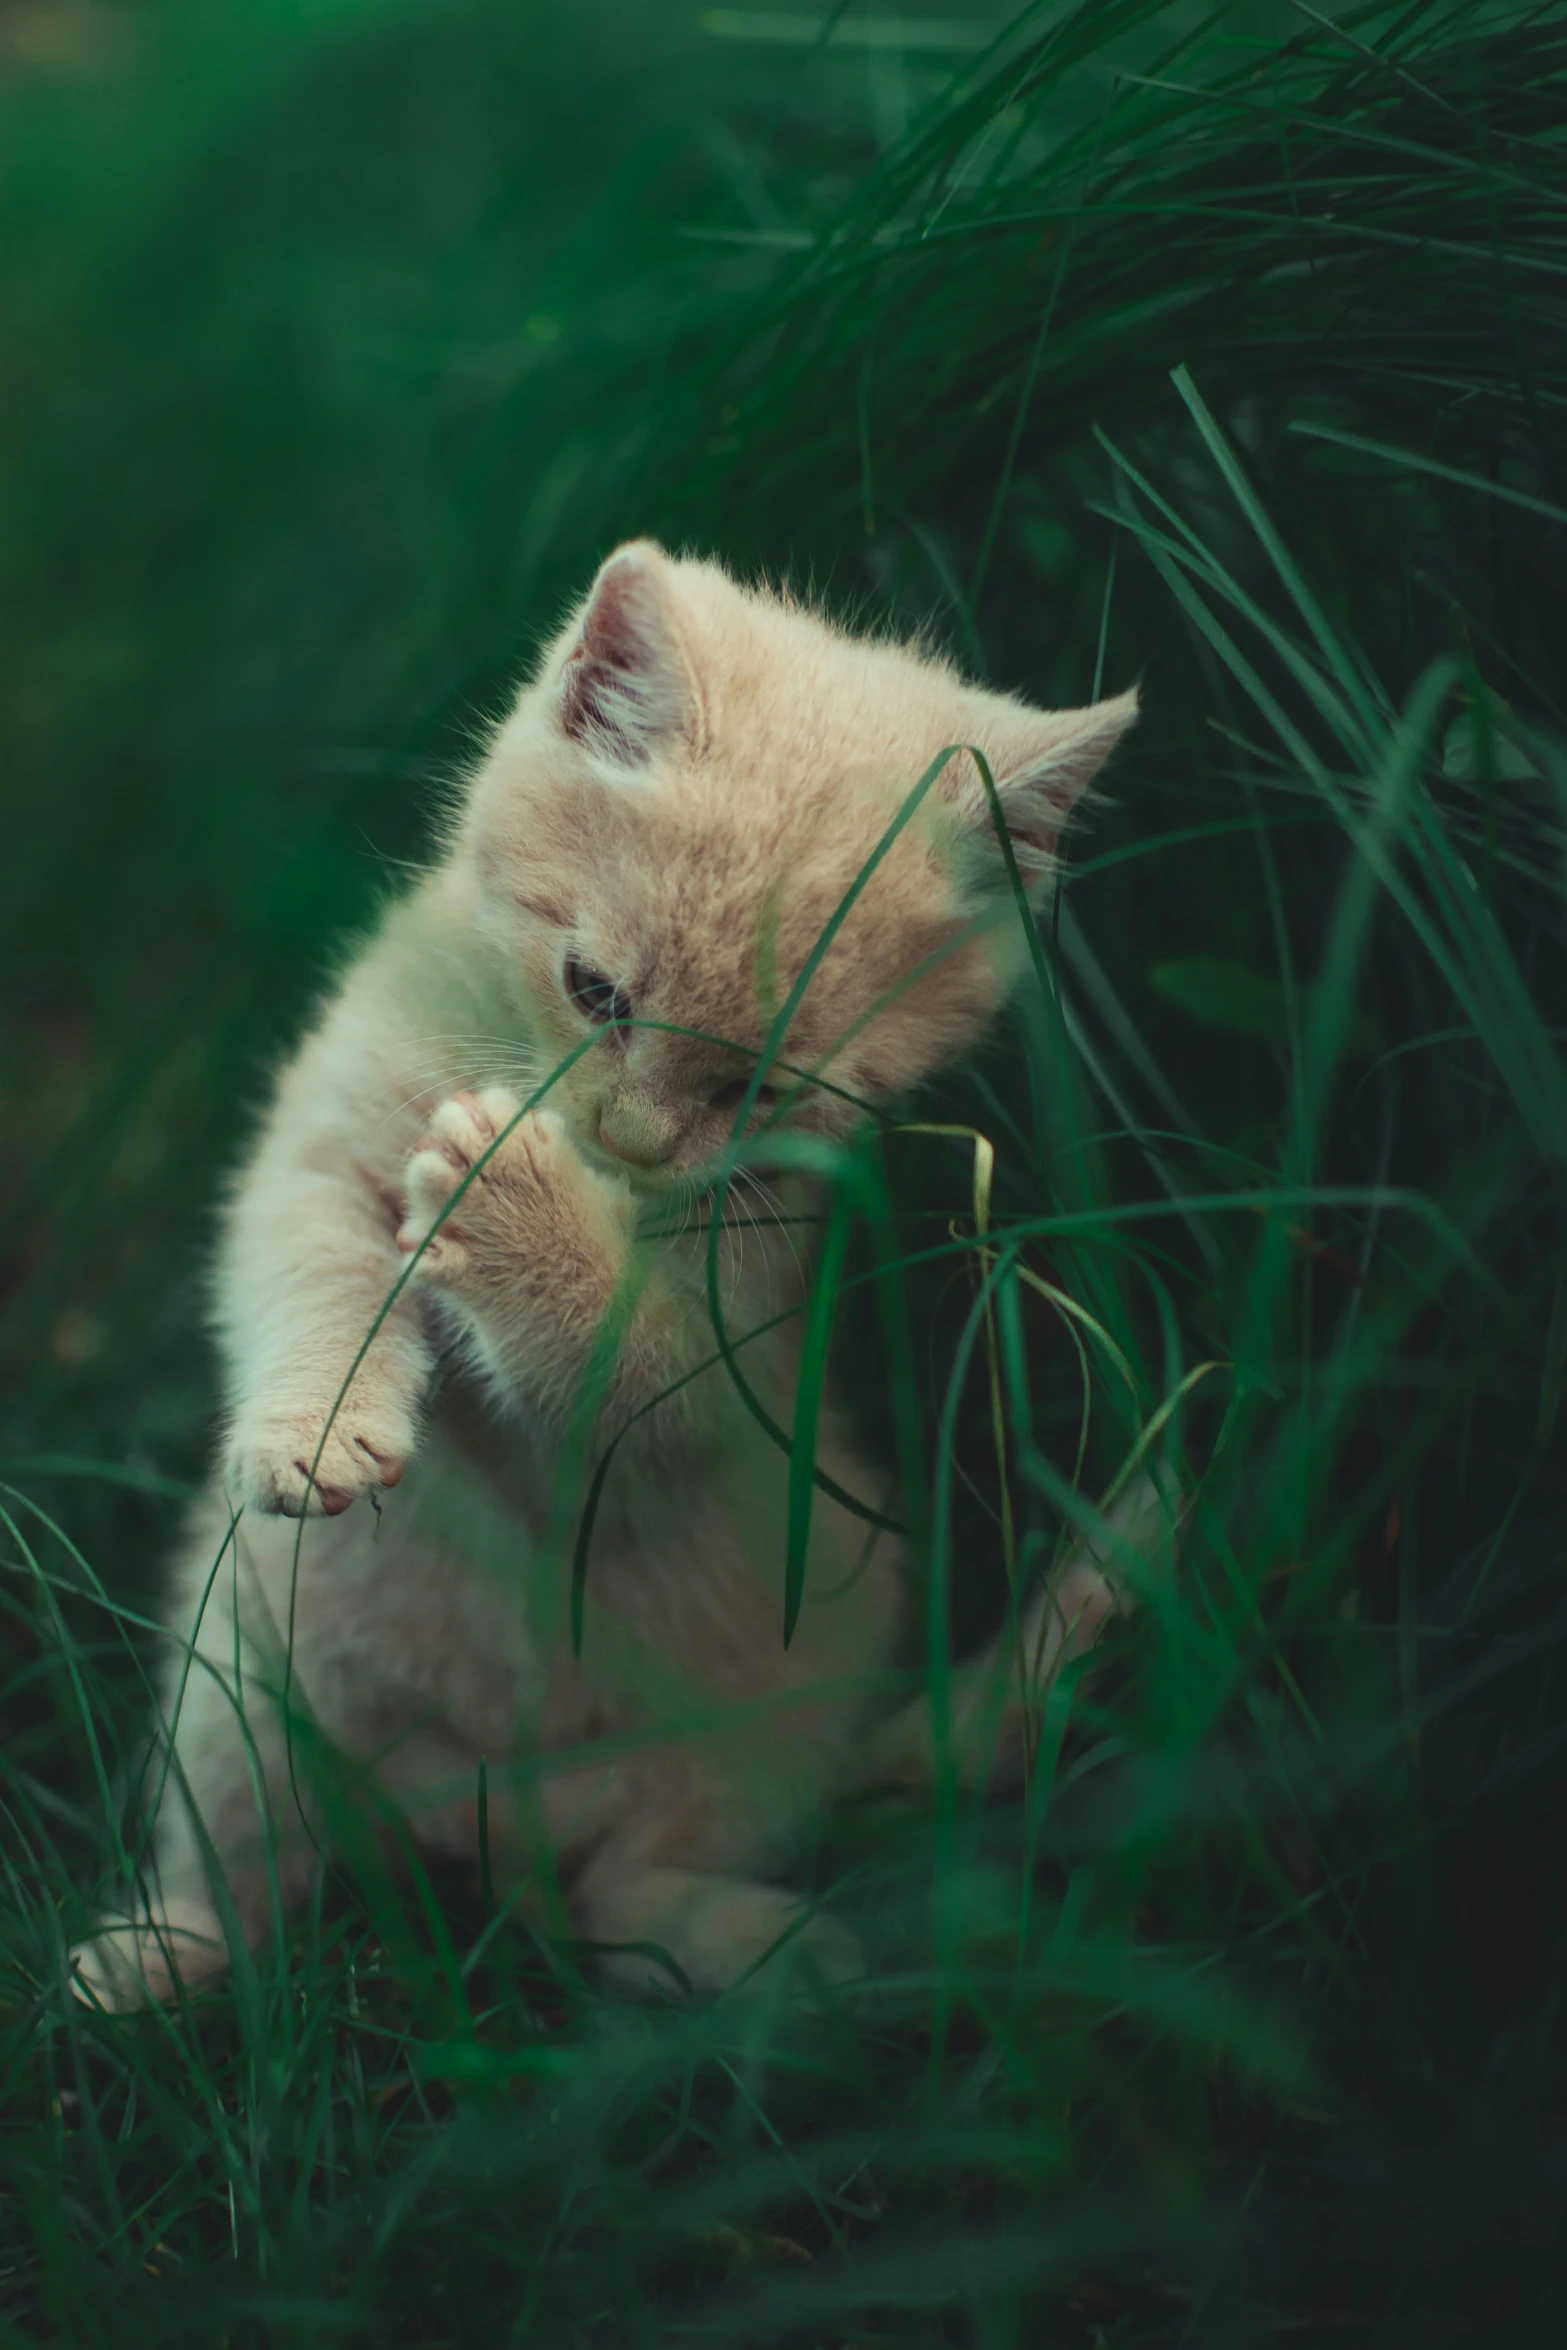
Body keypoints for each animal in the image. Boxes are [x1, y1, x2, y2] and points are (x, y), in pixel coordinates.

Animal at [73, 540, 1146, 2011]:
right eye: (593, 992)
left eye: (763, 1089)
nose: (626, 1140)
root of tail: (492, 1814)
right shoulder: (318, 1156)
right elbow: (310, 1277)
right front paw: (320, 1423)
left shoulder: (729, 1342)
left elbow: (628, 1363)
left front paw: (517, 1205)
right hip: (233, 1677)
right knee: (254, 1878)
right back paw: (149, 1956)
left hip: (789, 1697)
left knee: (625, 1894)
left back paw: (789, 1953)